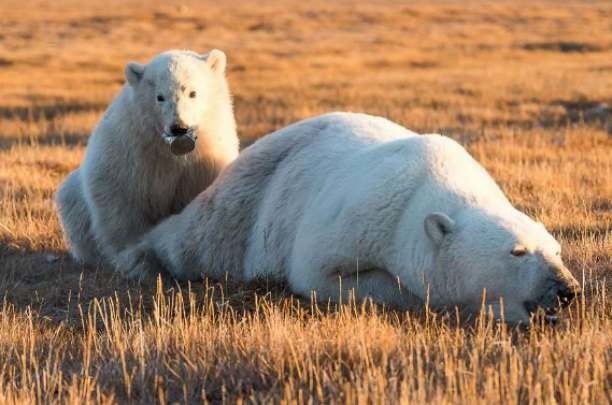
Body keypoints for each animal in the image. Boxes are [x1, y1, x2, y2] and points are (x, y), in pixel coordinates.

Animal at [56, 49, 239, 266]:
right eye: (159, 97)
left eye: (193, 92)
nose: (178, 127)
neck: (167, 148)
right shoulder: (131, 151)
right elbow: (120, 203)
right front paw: (132, 254)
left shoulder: (202, 160)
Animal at [117, 112, 580, 324]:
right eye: (517, 251)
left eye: (556, 250)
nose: (566, 289)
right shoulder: (364, 214)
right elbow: (320, 272)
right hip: (253, 196)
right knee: (199, 237)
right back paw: (141, 257)